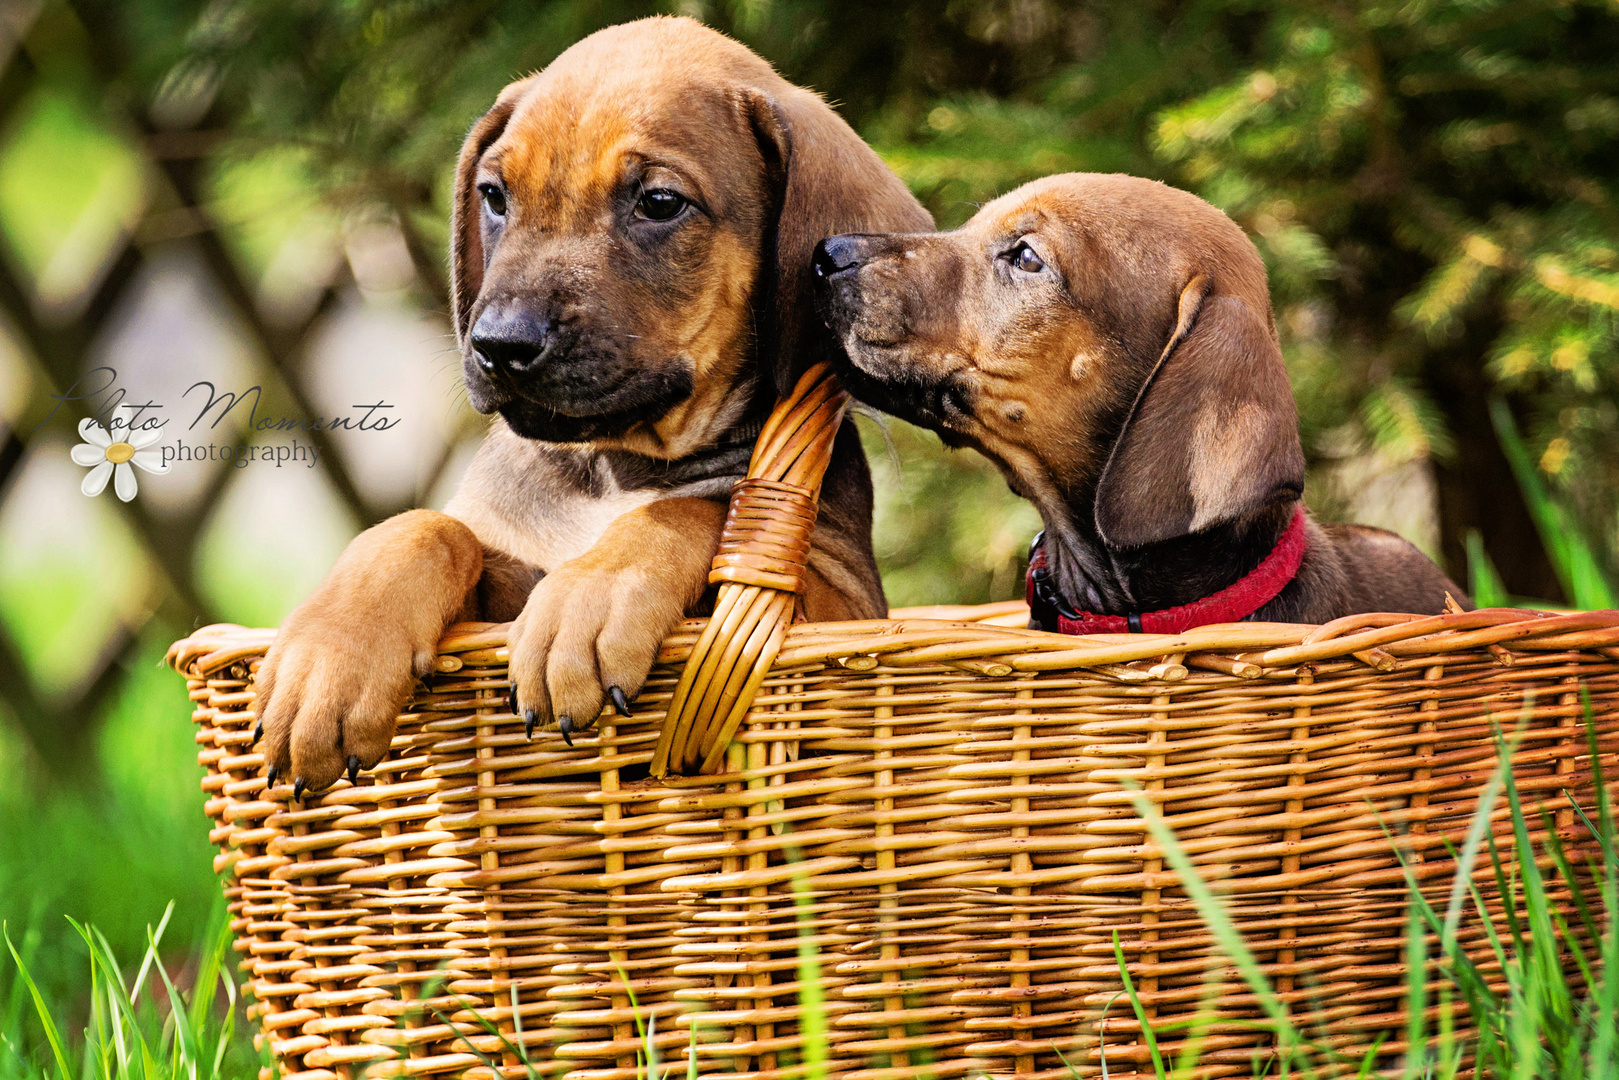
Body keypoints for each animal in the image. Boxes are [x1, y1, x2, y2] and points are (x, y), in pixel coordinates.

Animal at [257, 19, 932, 793]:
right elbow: (426, 528)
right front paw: (329, 655)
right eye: (494, 196)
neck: (611, 465)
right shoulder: (501, 576)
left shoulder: (838, 605)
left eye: (660, 203)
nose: (499, 343)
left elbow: (689, 509)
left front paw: (587, 599)